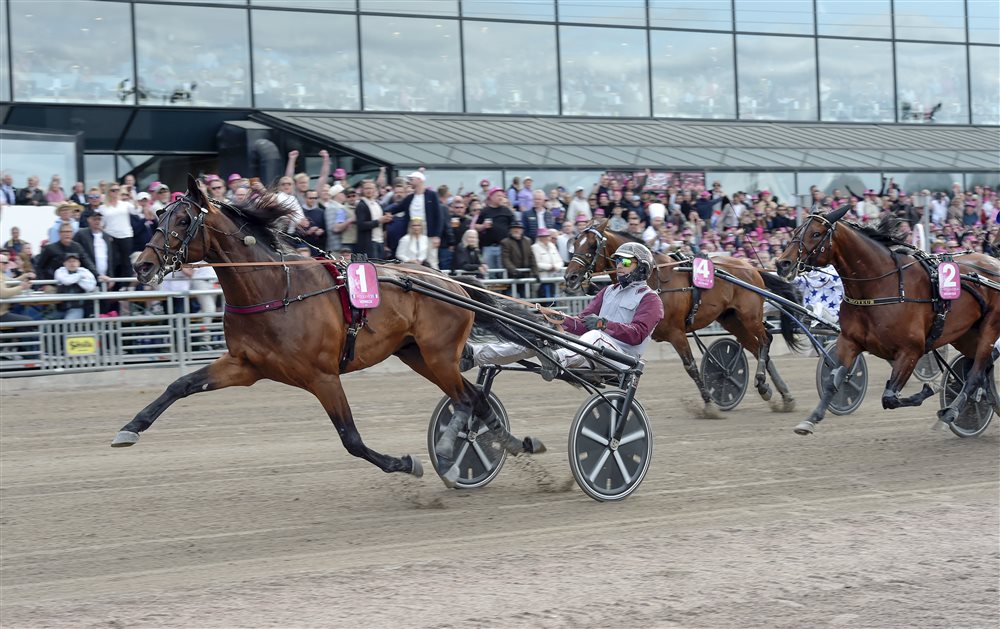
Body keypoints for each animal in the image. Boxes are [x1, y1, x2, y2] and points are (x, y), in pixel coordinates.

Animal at [113, 174, 544, 484]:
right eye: (158, 215)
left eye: (184, 219)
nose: (142, 265)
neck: (275, 290)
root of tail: (453, 283)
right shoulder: (245, 365)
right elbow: (180, 385)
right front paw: (129, 429)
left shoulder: (321, 376)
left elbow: (351, 439)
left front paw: (406, 463)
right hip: (417, 354)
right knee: (472, 397)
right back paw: (489, 443)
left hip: (438, 355)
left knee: (471, 399)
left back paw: (482, 448)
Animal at [564, 220, 804, 412]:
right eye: (574, 243)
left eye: (592, 245)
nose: (570, 277)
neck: (654, 279)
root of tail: (751, 267)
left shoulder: (676, 332)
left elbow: (690, 366)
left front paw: (709, 404)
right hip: (731, 319)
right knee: (756, 348)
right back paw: (781, 393)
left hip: (749, 316)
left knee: (765, 340)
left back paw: (764, 382)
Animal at [772, 209, 1000, 434]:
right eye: (796, 230)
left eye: (816, 234)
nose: (782, 263)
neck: (882, 286)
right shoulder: (849, 341)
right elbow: (833, 381)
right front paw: (810, 419)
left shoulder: (911, 350)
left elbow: (889, 398)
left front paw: (928, 389)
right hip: (965, 334)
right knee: (984, 369)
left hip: (989, 328)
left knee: (975, 373)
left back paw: (950, 414)